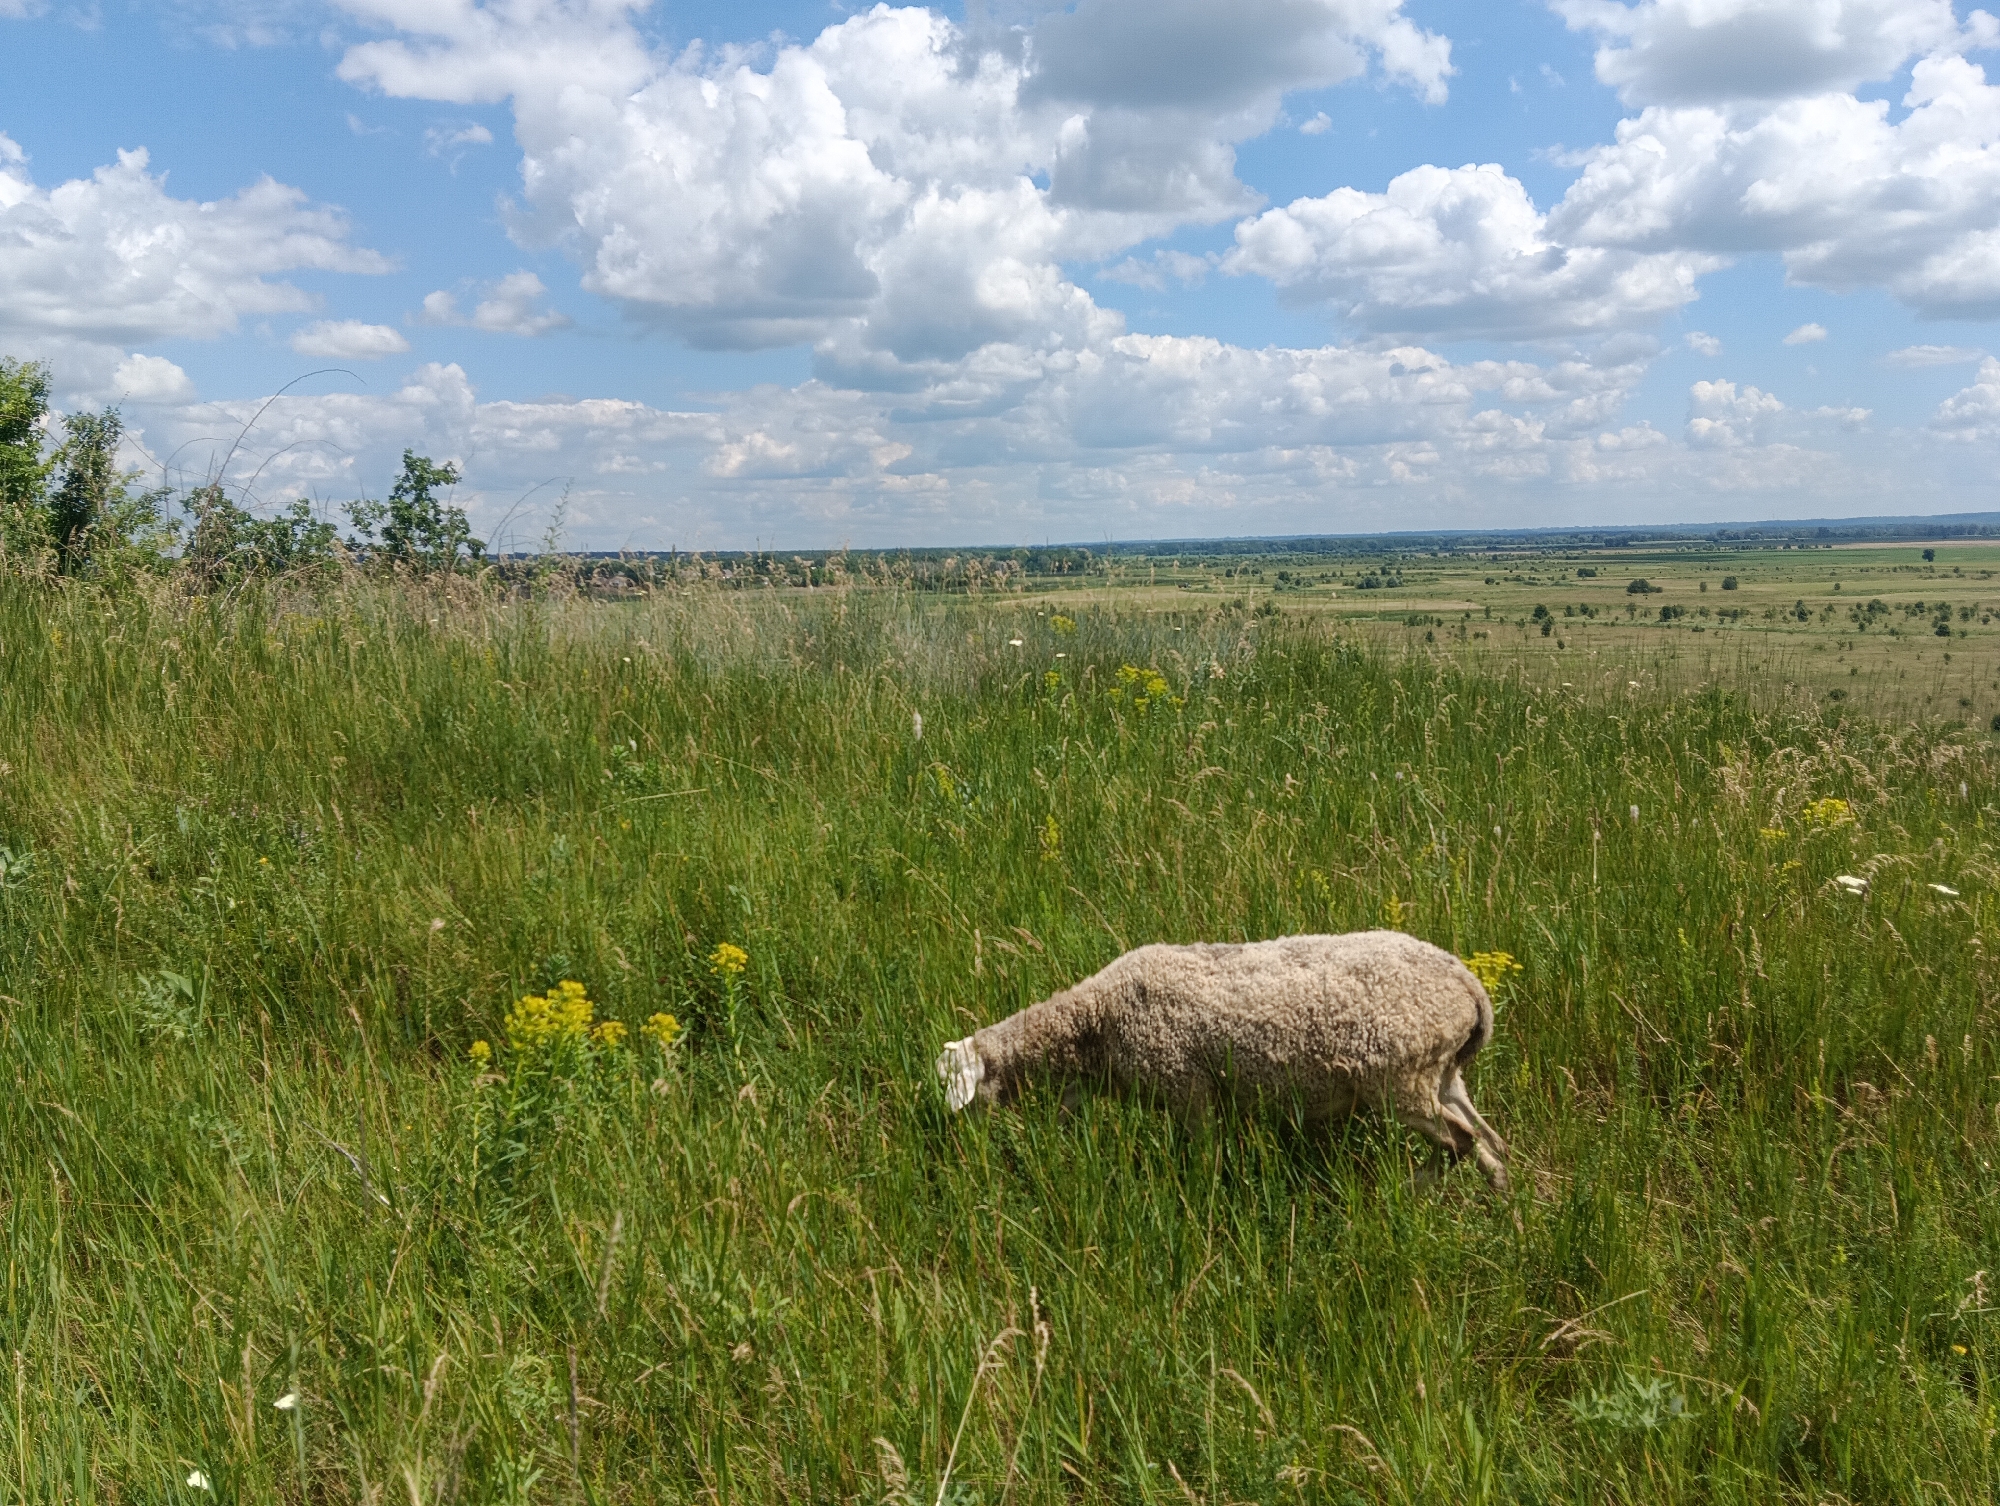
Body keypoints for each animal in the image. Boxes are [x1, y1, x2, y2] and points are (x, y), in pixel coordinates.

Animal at [935, 930, 1511, 1192]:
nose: (955, 1144)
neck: (1098, 1022)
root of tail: (1469, 986)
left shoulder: (1188, 1090)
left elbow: (1205, 1160)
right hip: (1445, 1075)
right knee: (1490, 1143)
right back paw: (1508, 1208)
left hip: (1402, 1080)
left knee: (1461, 1140)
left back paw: (1411, 1188)